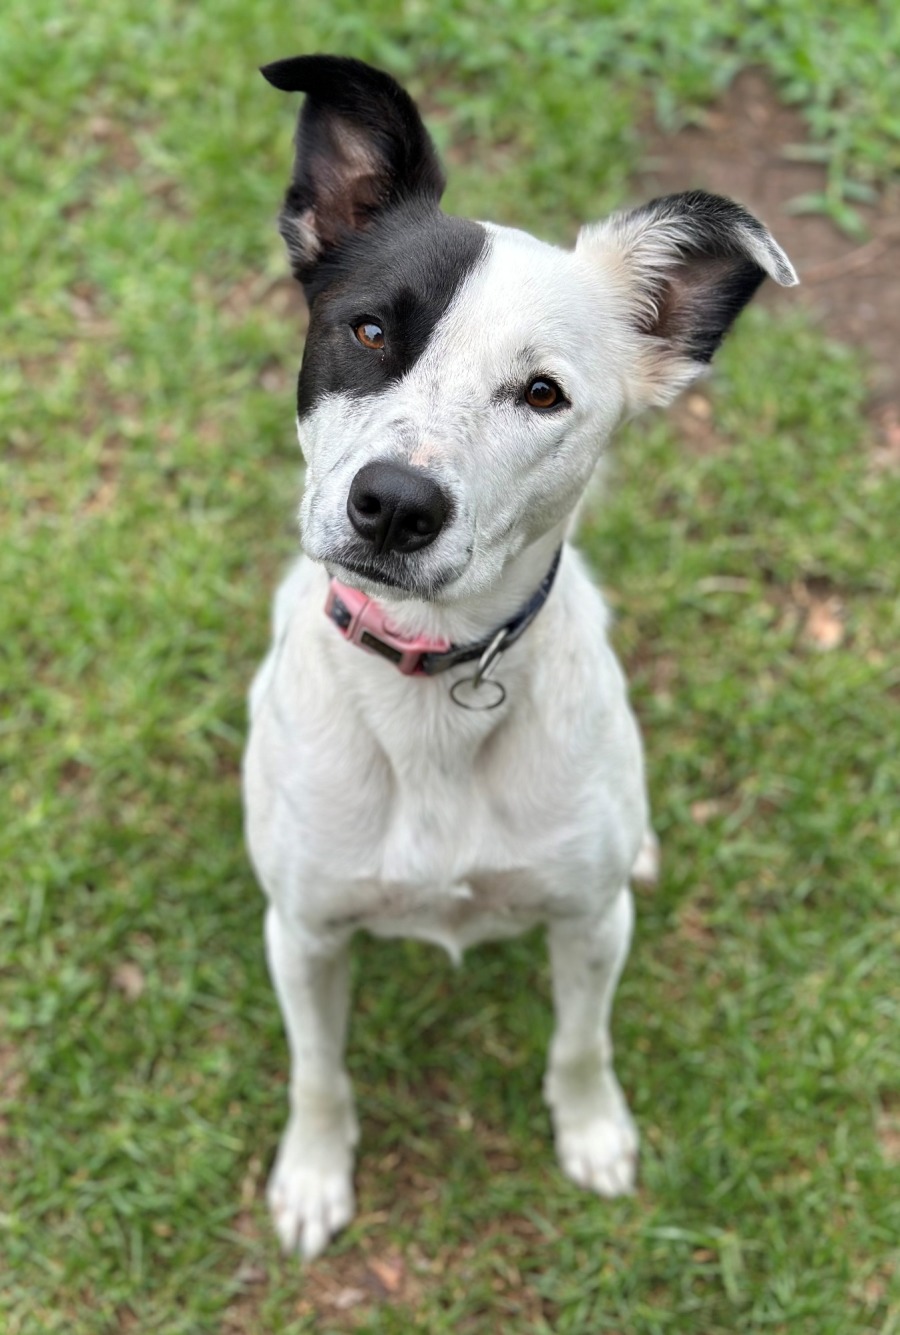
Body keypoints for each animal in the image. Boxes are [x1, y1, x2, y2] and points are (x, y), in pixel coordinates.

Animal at [243, 53, 797, 1260]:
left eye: (543, 393)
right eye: (368, 332)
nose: (395, 505)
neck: (432, 690)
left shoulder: (590, 924)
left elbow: (580, 1043)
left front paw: (592, 1133)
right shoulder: (302, 933)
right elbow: (317, 1071)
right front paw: (312, 1173)